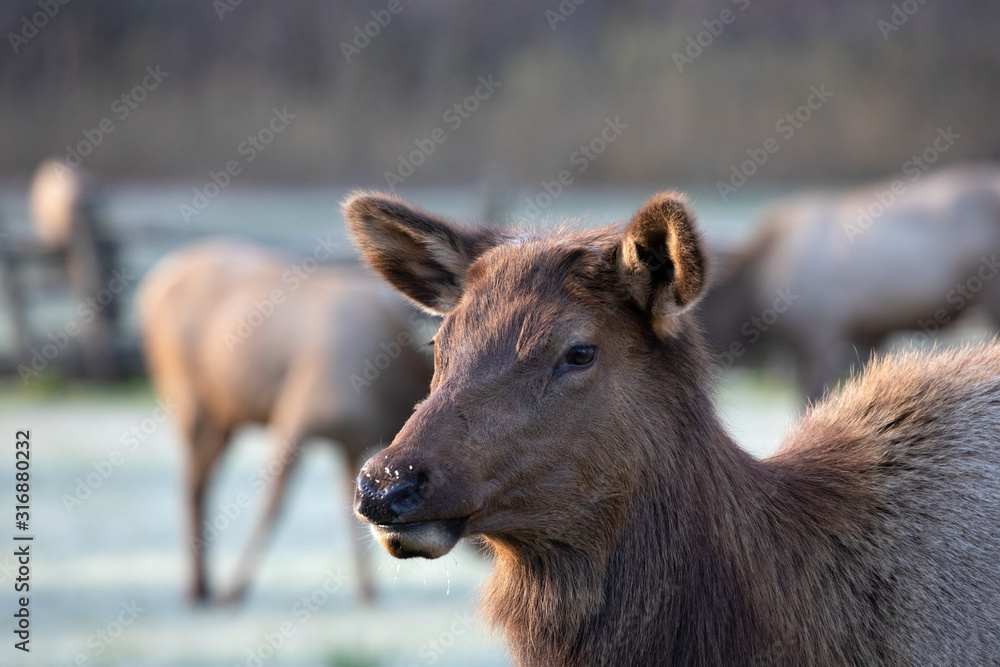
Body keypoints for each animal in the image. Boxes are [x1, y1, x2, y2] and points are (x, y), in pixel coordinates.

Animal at [137, 239, 433, 603]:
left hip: (224, 416)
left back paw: (202, 584)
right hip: (186, 398)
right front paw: (235, 591)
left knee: (200, 480)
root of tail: (149, 288)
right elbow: (273, 505)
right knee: (192, 482)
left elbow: (352, 510)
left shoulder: (350, 442)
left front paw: (367, 592)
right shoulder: (297, 419)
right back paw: (197, 588)